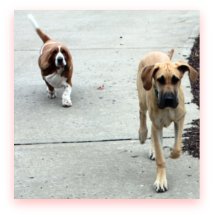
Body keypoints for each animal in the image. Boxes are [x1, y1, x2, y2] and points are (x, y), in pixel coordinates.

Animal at [137, 50, 197, 192]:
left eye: (176, 80)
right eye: (160, 80)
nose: (169, 99)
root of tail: (154, 52)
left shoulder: (180, 120)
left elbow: (177, 148)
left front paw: (172, 153)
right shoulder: (157, 125)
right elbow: (160, 158)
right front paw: (161, 181)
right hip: (142, 98)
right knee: (142, 114)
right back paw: (142, 134)